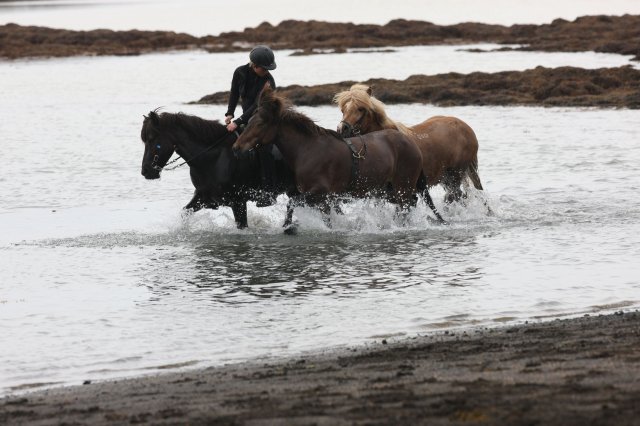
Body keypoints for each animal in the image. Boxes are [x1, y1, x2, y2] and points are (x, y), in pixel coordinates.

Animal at [140, 110, 298, 230]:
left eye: (152, 139)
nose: (145, 171)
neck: (214, 158)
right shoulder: (203, 197)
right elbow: (185, 212)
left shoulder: (238, 202)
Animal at [230, 86, 430, 230]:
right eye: (249, 122)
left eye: (260, 123)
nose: (237, 147)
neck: (308, 149)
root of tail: (412, 143)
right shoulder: (324, 199)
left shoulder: (320, 193)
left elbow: (293, 203)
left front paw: (288, 226)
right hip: (386, 189)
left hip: (402, 187)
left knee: (406, 206)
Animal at [336, 84, 484, 204]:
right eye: (343, 109)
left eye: (361, 108)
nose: (342, 129)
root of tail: (467, 128)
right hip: (445, 178)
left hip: (454, 176)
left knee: (455, 197)